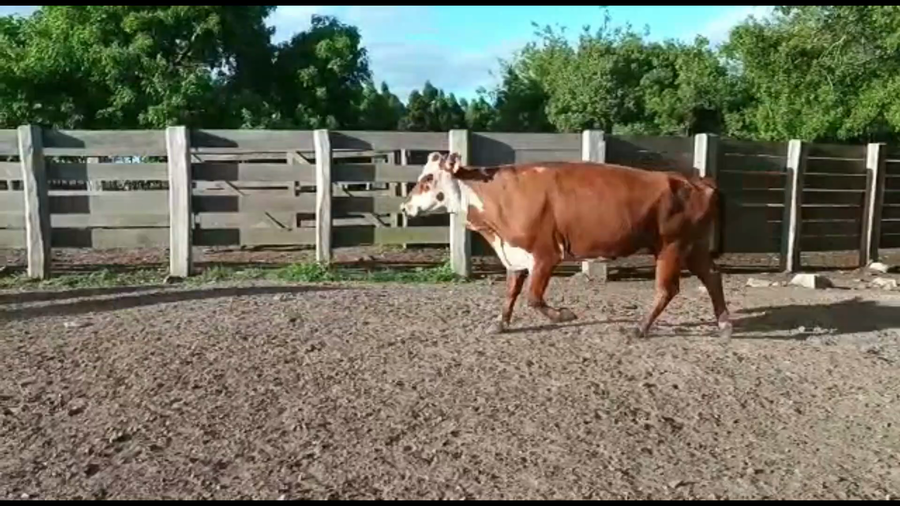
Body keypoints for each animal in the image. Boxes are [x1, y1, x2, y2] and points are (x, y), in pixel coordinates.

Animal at [400, 152, 732, 340]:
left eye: (428, 178)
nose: (405, 207)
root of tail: (696, 181)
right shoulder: (514, 255)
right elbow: (511, 293)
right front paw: (500, 323)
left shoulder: (546, 255)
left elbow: (533, 298)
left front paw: (565, 315)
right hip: (693, 246)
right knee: (713, 277)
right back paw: (724, 324)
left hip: (671, 246)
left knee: (667, 289)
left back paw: (640, 328)